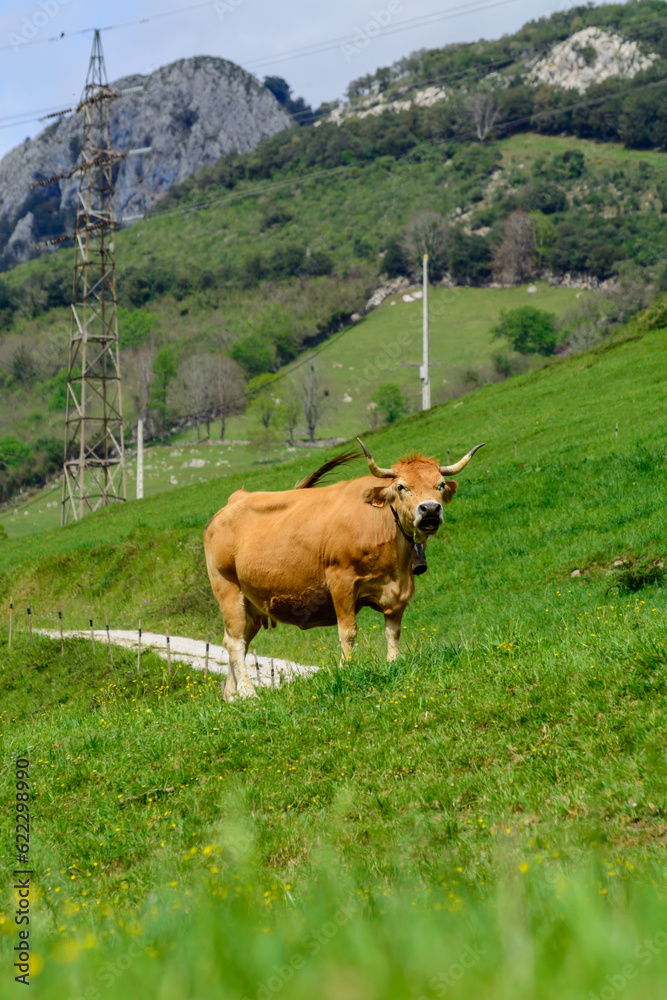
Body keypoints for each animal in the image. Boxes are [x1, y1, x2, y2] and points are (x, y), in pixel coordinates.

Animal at [204, 437, 484, 700]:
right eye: (401, 486)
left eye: (440, 484)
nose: (430, 509)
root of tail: (236, 499)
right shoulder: (341, 582)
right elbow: (348, 632)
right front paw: (347, 669)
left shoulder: (399, 591)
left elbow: (393, 632)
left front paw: (394, 664)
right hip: (227, 588)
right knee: (236, 642)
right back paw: (248, 692)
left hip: (252, 606)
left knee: (236, 640)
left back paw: (232, 696)